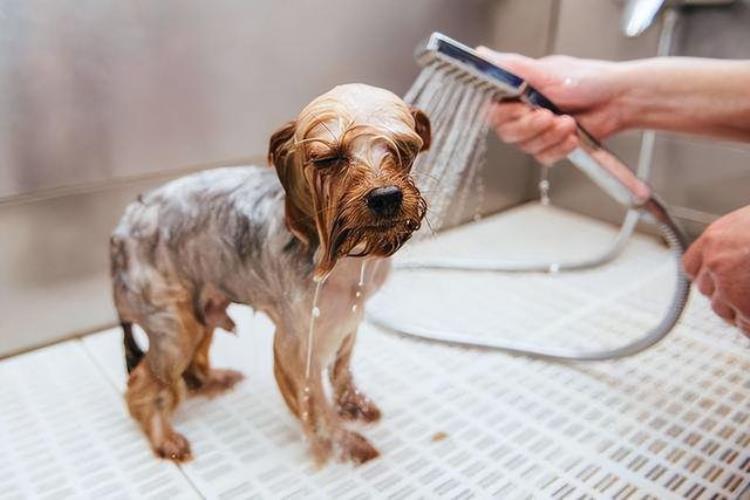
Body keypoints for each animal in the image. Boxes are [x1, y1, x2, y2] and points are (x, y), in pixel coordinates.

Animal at [108, 83, 432, 464]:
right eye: (329, 159)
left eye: (404, 150)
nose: (386, 196)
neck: (344, 254)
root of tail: (121, 230)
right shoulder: (297, 341)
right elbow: (314, 400)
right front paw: (343, 442)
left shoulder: (349, 315)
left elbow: (341, 369)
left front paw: (355, 405)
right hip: (173, 324)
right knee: (142, 383)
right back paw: (166, 440)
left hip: (200, 308)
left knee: (191, 364)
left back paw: (214, 380)